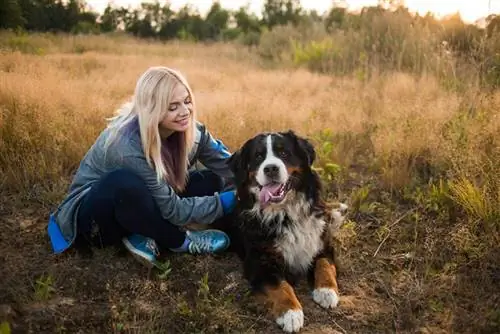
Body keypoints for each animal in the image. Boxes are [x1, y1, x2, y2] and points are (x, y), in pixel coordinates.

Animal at [215, 130, 348, 332]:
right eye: (258, 156)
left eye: (284, 153)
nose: (270, 169)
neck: (285, 214)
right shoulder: (259, 262)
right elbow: (281, 286)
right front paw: (290, 313)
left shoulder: (321, 242)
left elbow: (324, 264)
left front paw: (326, 291)